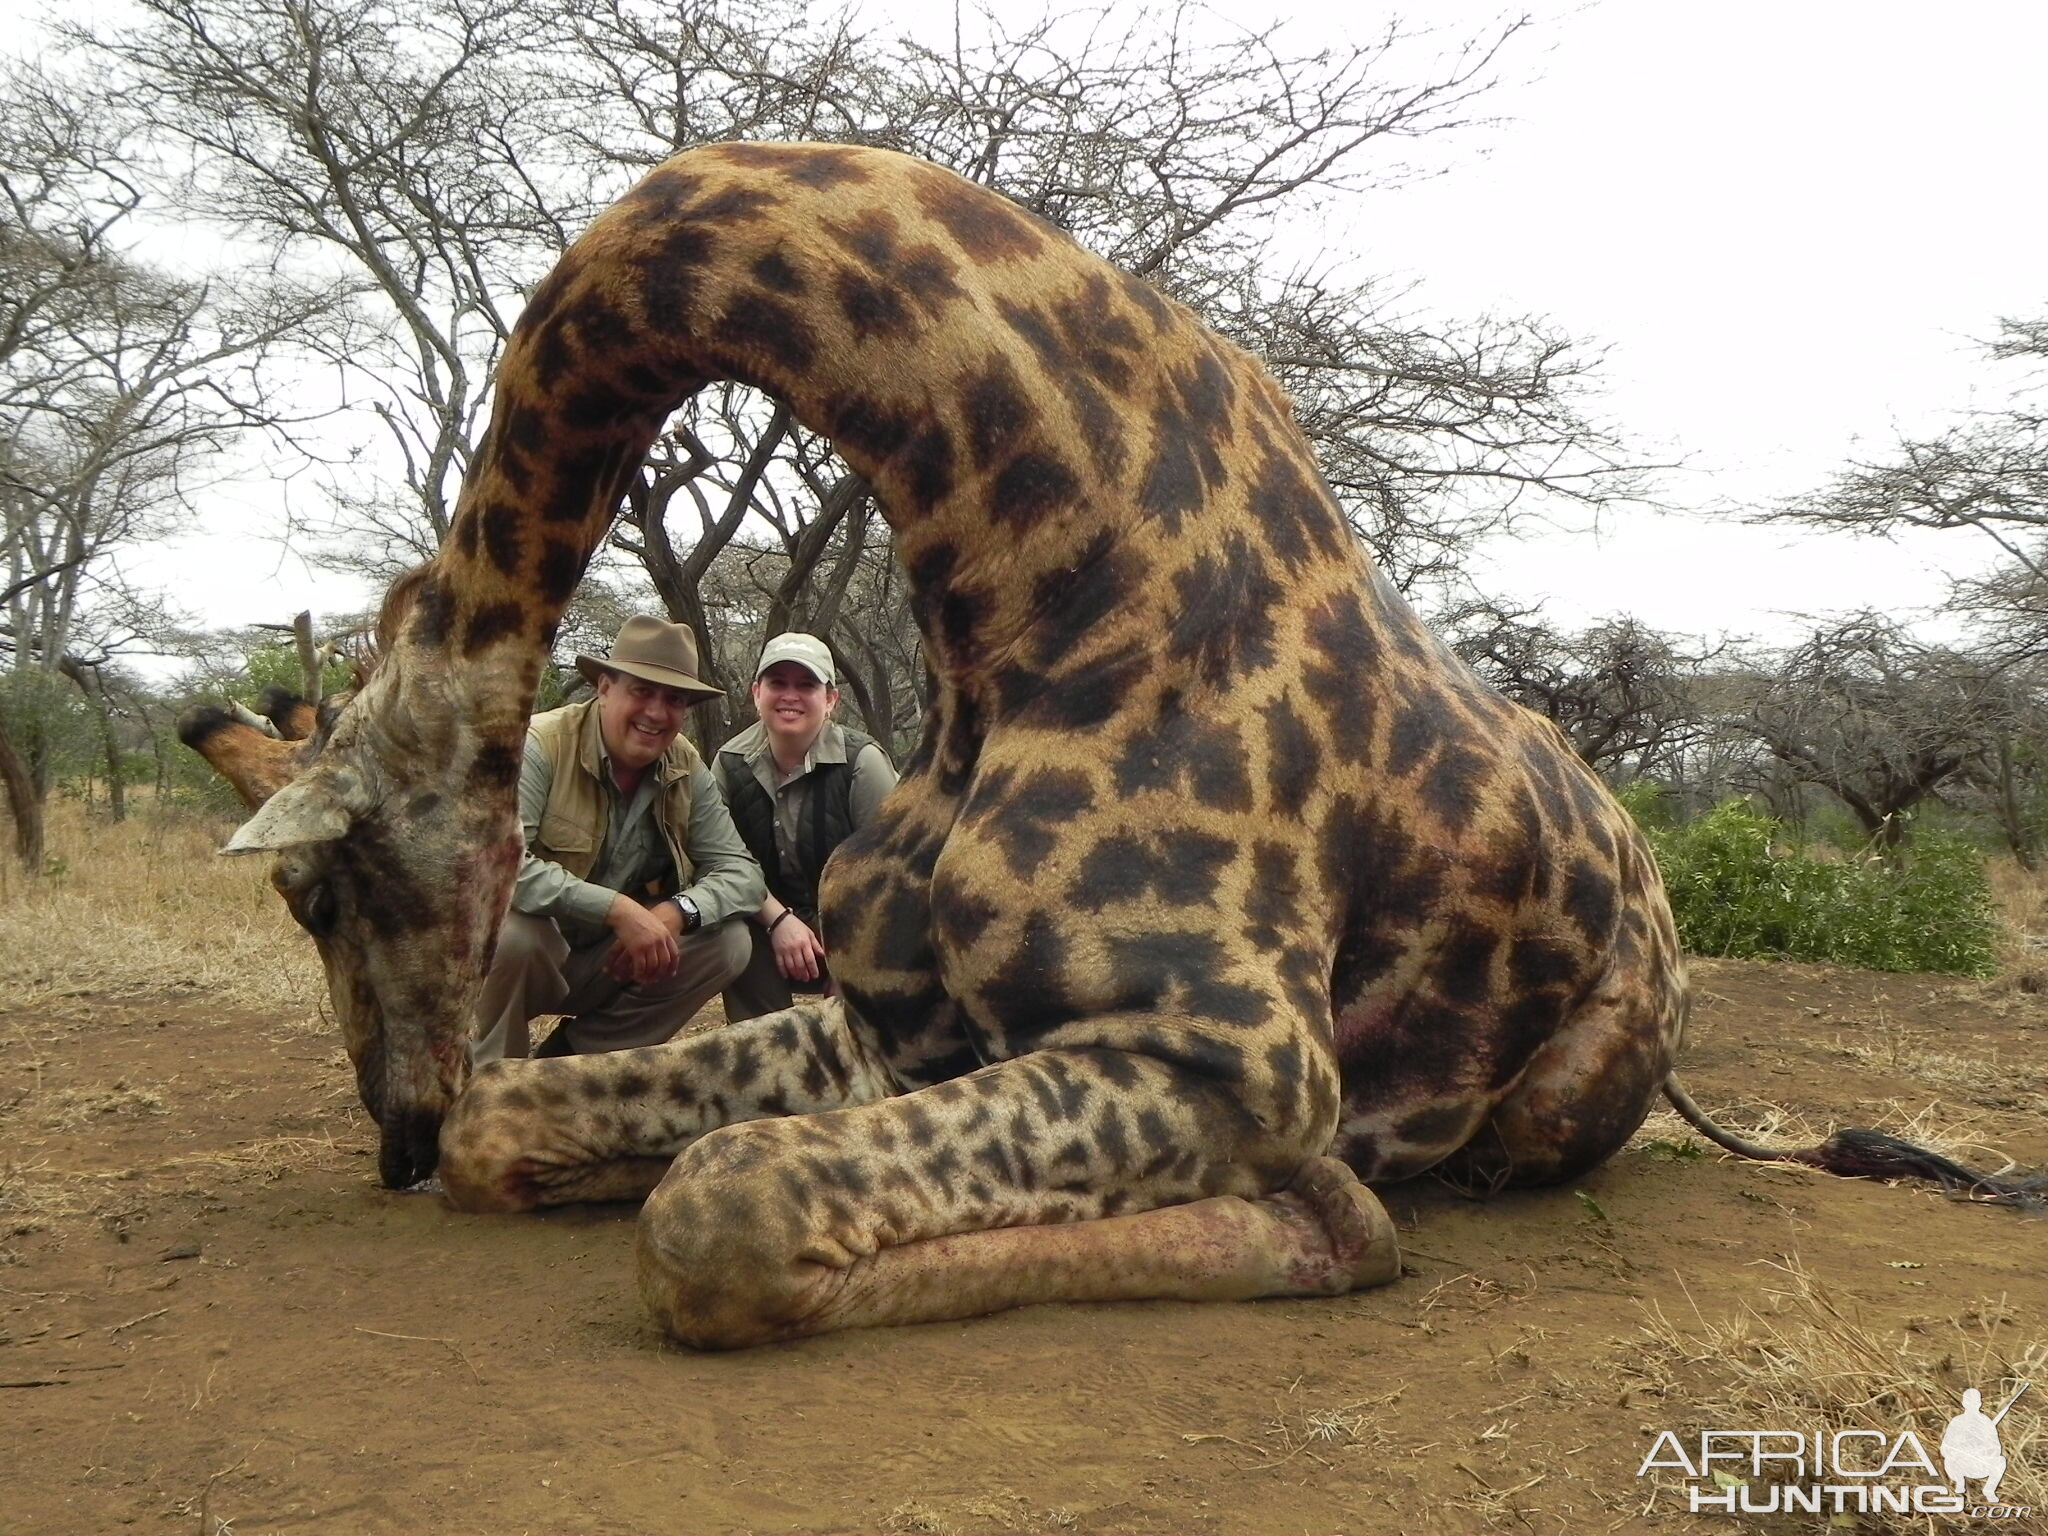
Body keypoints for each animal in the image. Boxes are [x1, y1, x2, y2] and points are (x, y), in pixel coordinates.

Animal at [220, 141, 2031, 1343]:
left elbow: (714, 1212)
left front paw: (1331, 1211)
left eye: (322, 891)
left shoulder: (1234, 1052)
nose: (388, 1127)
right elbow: (526, 1124)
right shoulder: (890, 1024)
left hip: (1567, 1086)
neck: (1042, 579)